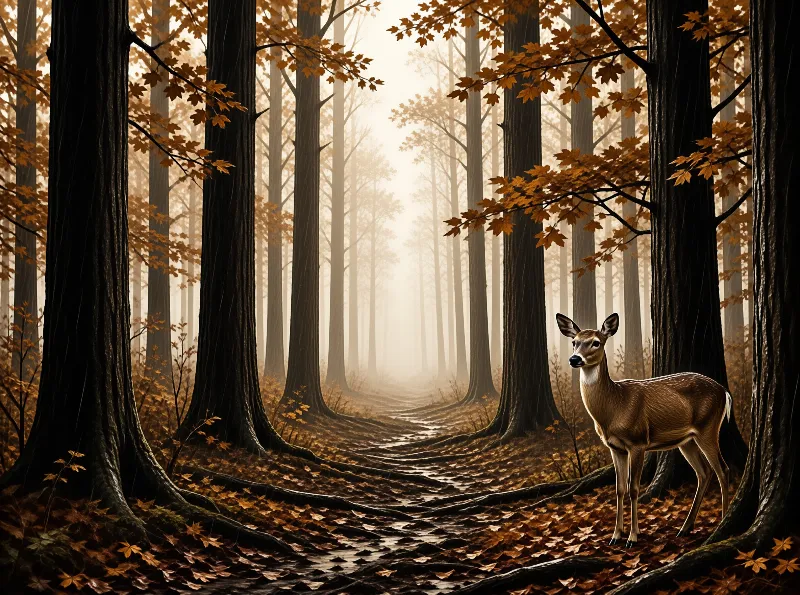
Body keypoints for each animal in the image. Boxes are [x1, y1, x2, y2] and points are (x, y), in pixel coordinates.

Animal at [555, 312, 731, 548]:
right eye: (574, 342)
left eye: (596, 342)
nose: (574, 359)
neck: (615, 406)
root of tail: (724, 391)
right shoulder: (615, 448)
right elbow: (619, 489)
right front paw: (615, 535)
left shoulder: (638, 442)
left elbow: (634, 489)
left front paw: (632, 537)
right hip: (687, 440)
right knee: (704, 472)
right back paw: (685, 528)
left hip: (708, 427)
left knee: (722, 470)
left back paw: (722, 522)